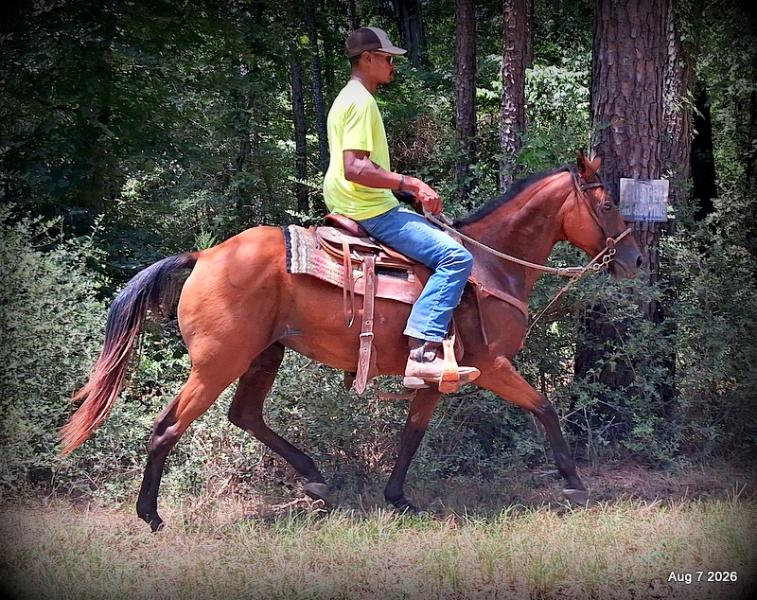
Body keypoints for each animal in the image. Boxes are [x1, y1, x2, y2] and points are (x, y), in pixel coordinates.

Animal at [60, 153, 642, 531]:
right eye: (607, 204)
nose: (635, 258)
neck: (490, 265)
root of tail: (204, 255)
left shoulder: (438, 372)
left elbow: (412, 433)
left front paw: (398, 499)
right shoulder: (493, 363)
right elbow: (544, 407)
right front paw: (574, 482)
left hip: (263, 355)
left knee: (245, 415)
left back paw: (314, 478)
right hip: (217, 363)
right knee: (168, 427)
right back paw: (151, 515)